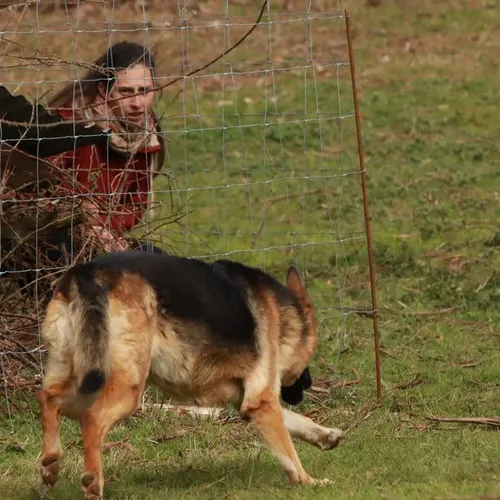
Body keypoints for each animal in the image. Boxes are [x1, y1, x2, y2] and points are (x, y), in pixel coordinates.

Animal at [38, 252, 344, 498]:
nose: (309, 383)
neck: (284, 313)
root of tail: (88, 273)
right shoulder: (262, 402)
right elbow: (290, 452)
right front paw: (309, 481)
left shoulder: (250, 404)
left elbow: (296, 422)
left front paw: (326, 434)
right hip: (124, 386)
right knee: (91, 419)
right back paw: (92, 482)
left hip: (82, 374)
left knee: (49, 398)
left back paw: (52, 463)